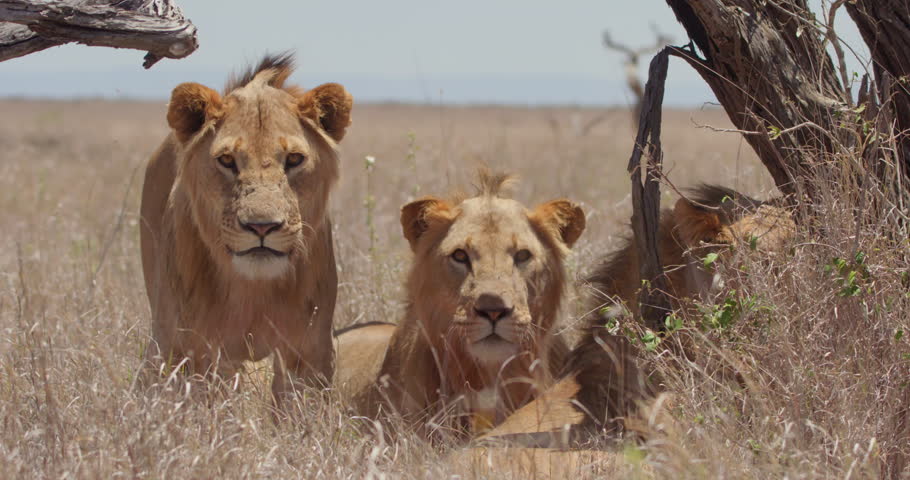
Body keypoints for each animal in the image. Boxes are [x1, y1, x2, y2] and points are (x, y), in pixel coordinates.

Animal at [137, 52, 353, 402]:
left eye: (294, 159)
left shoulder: (308, 352)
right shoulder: (189, 349)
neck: (253, 291)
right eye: (227, 160)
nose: (262, 227)